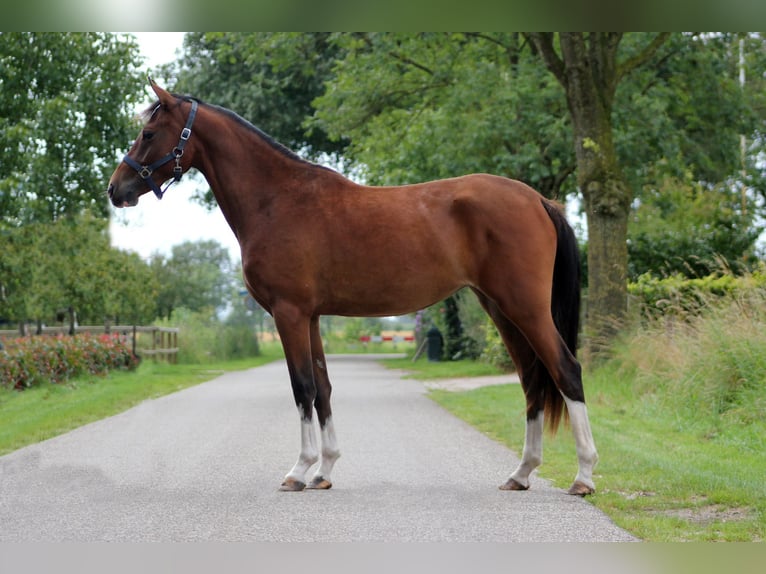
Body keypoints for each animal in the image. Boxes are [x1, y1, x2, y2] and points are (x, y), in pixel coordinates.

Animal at [108, 79, 600, 498]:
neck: (278, 199)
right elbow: (323, 388)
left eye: (148, 132)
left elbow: (302, 387)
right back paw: (521, 474)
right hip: (500, 309)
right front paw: (324, 471)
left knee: (566, 371)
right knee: (533, 380)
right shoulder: (310, 316)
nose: (117, 189)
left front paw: (299, 470)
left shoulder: (288, 312)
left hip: (526, 308)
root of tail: (539, 199)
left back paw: (583, 477)